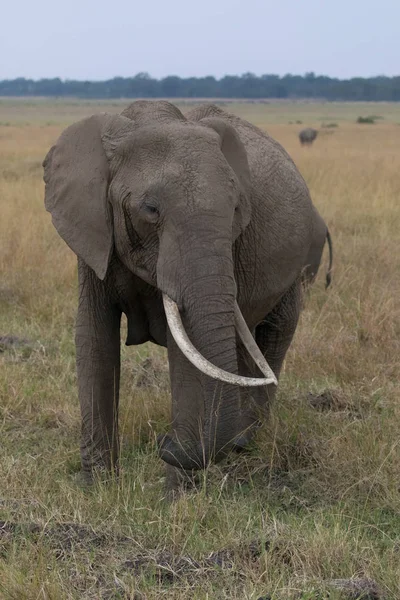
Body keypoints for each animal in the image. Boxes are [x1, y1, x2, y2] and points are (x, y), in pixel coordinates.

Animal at [42, 101, 332, 490]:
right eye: (150, 209)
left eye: (237, 209)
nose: (165, 443)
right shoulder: (93, 231)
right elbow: (94, 339)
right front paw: (96, 489)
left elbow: (186, 355)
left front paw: (174, 496)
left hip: (294, 271)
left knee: (273, 338)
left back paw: (246, 442)